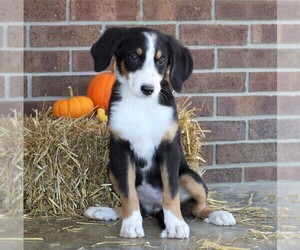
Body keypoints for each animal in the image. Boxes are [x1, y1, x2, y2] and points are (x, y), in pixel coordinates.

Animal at [85, 26, 237, 238]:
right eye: (134, 56)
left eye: (161, 60)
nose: (148, 89)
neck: (142, 106)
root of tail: (154, 207)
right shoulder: (122, 150)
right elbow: (128, 193)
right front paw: (131, 225)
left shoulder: (169, 149)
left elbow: (170, 192)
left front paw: (176, 224)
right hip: (112, 169)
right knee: (134, 203)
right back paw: (103, 211)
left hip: (190, 176)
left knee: (197, 208)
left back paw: (218, 214)